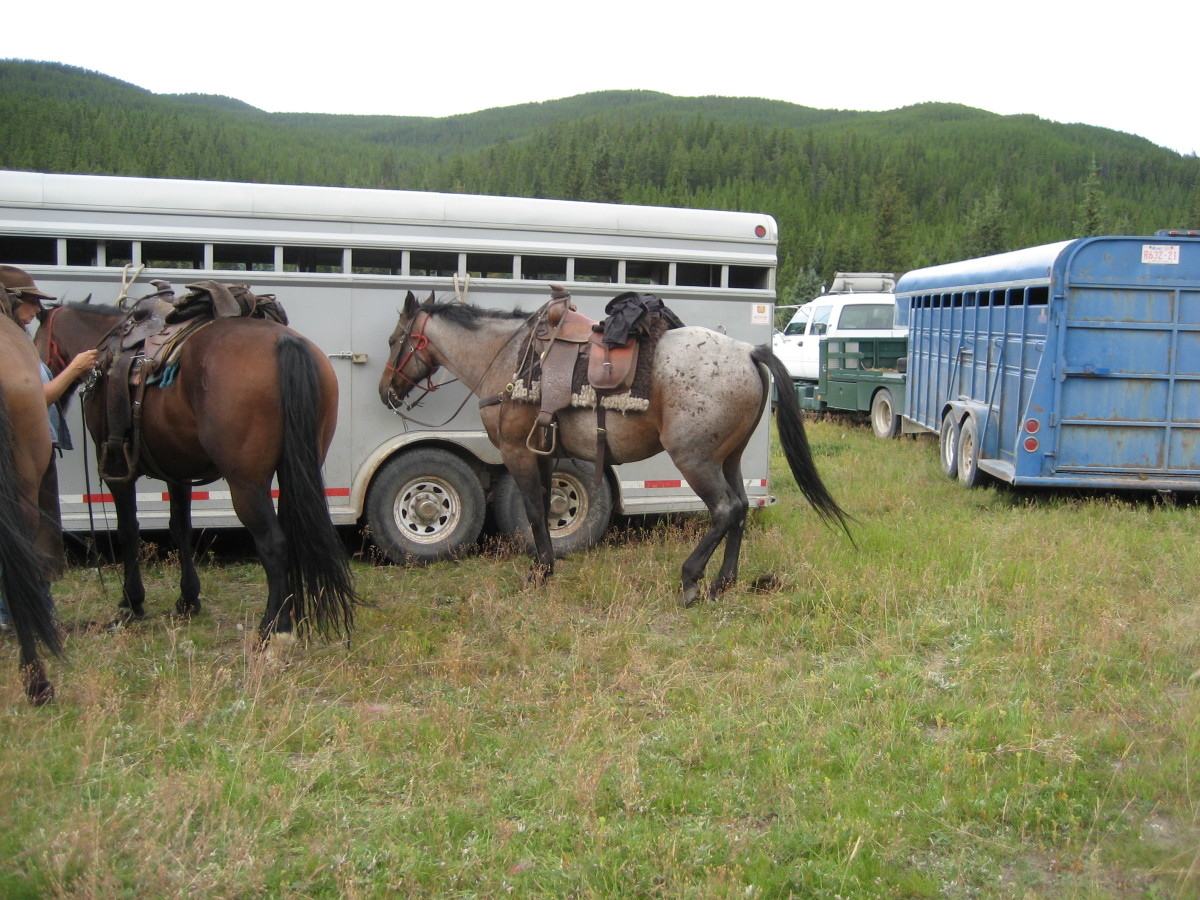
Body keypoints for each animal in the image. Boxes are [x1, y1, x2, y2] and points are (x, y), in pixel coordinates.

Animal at [35, 299, 354, 643]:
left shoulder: (118, 468)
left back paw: (274, 627)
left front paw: (130, 603)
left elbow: (128, 530)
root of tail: (285, 342)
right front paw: (188, 599)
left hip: (247, 484)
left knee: (274, 543)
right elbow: (181, 527)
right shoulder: (177, 469)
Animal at [379, 291, 851, 606]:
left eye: (393, 340)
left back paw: (691, 580)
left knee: (726, 509)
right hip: (728, 459)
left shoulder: (518, 451)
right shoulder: (545, 453)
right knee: (741, 511)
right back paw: (723, 583)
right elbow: (544, 510)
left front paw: (539, 572)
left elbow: (533, 511)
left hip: (695, 459)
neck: (509, 359)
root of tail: (749, 352)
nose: (386, 392)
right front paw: (548, 564)